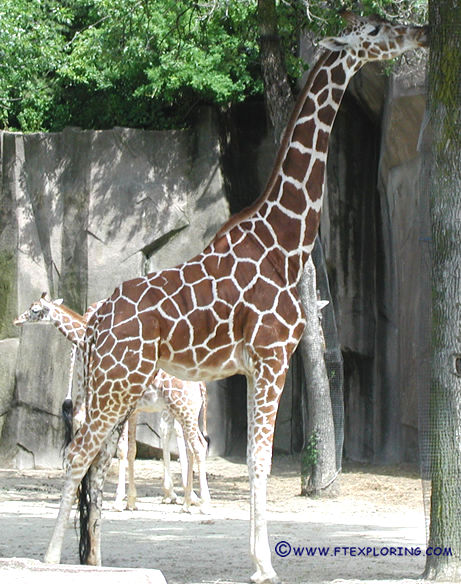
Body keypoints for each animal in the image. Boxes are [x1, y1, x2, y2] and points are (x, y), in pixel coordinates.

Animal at [13, 296, 208, 512]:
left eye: (35, 310)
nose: (16, 320)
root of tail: (199, 385)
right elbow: (129, 449)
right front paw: (129, 500)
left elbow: (121, 449)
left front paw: (118, 500)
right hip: (184, 410)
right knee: (193, 444)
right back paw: (187, 501)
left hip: (181, 408)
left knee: (195, 445)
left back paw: (199, 503)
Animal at [41, 12, 426, 580]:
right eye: (375, 30)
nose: (419, 33)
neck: (284, 241)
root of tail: (92, 326)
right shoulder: (274, 357)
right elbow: (260, 462)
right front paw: (265, 565)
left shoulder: (250, 367)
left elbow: (249, 463)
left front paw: (255, 559)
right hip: (118, 383)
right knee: (77, 456)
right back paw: (49, 558)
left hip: (116, 386)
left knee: (97, 457)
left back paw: (92, 558)